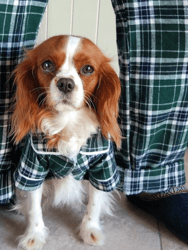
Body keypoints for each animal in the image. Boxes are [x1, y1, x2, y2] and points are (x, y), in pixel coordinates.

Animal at [11, 35, 121, 250]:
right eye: (47, 65)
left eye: (88, 69)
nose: (65, 83)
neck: (67, 123)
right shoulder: (33, 166)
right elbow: (34, 205)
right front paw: (34, 234)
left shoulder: (102, 166)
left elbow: (95, 201)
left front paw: (90, 229)